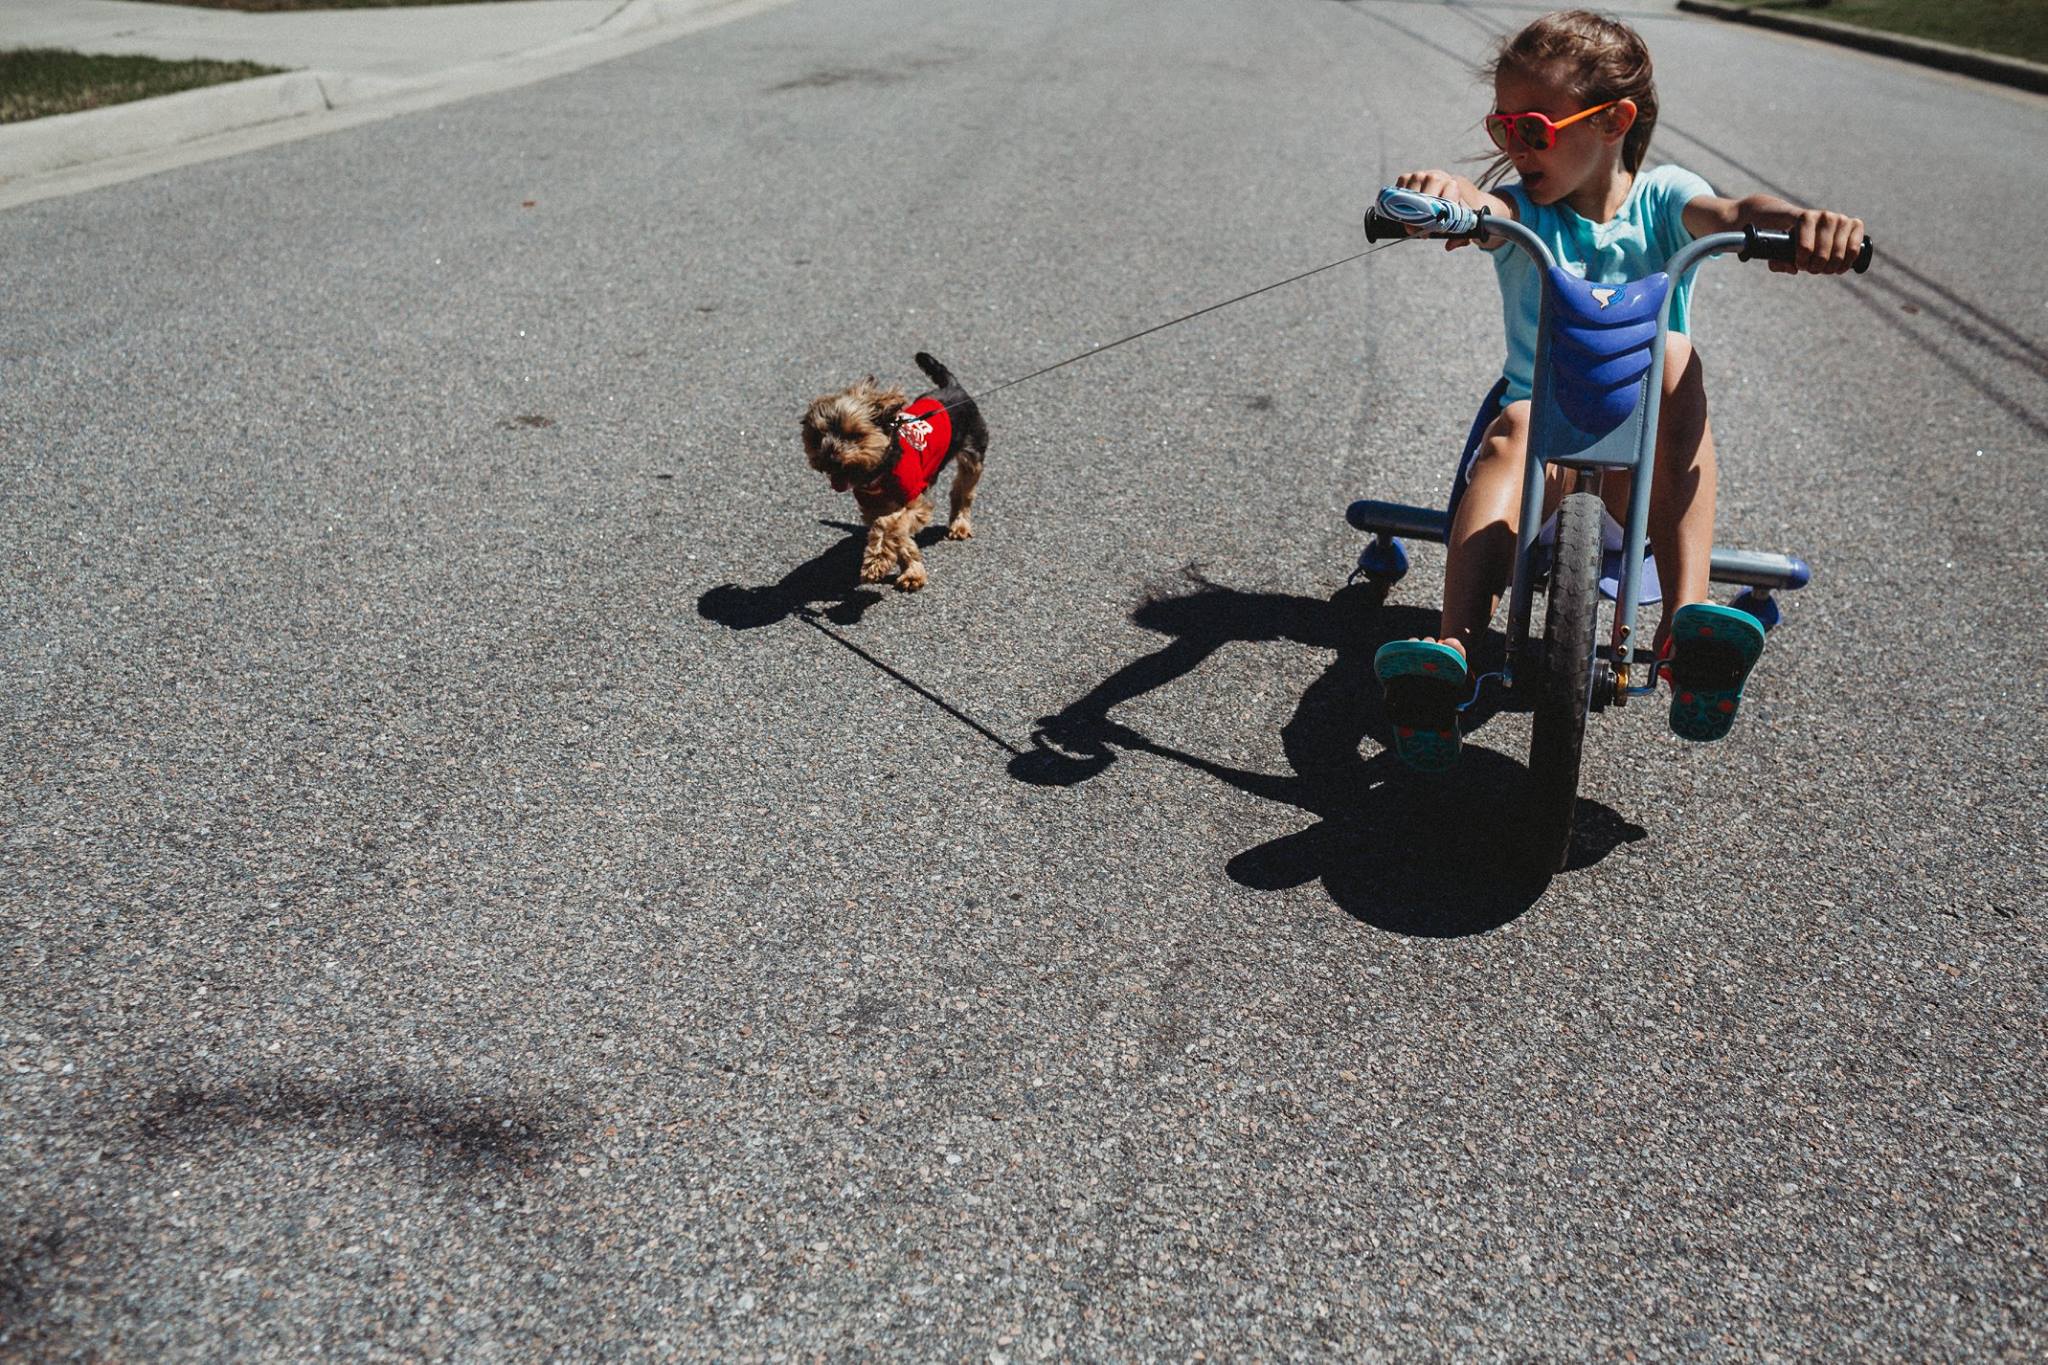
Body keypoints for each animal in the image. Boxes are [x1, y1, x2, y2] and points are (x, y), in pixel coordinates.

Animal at [802, 349, 987, 589]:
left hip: (973, 450)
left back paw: (960, 524)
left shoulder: (914, 502)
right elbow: (898, 536)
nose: (831, 458)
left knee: (963, 490)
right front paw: (910, 571)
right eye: (817, 438)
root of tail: (954, 386)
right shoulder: (874, 506)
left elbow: (889, 526)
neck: (880, 471)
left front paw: (878, 561)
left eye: (854, 435)